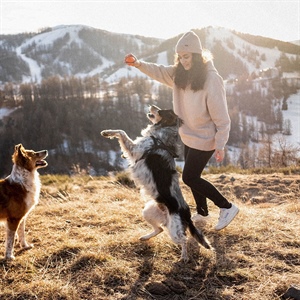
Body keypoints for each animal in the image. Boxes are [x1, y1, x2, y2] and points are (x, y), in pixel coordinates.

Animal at [101, 105, 211, 262]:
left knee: (183, 240)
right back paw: (145, 237)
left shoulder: (134, 149)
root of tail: (187, 214)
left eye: (161, 111)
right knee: (159, 229)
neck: (159, 137)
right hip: (148, 212)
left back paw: (184, 257)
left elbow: (122, 132)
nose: (152, 106)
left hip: (174, 230)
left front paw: (107, 132)